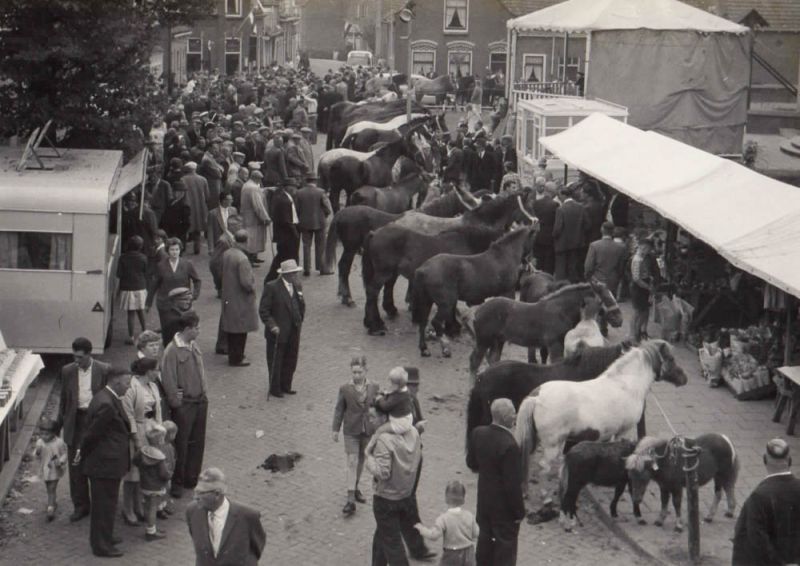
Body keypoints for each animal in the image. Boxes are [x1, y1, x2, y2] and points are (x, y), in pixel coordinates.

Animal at [361, 223, 506, 336]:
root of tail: (374, 233)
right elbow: (452, 305)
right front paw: (452, 327)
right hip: (383, 273)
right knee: (372, 292)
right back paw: (375, 326)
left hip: (391, 273)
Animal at [411, 225, 539, 358]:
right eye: (534, 239)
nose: (532, 261)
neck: (504, 255)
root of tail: (422, 269)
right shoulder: (508, 292)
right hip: (446, 304)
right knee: (436, 322)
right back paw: (445, 348)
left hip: (426, 301)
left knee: (423, 322)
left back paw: (424, 349)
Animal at [468, 280, 623, 378]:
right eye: (606, 298)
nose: (619, 319)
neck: (561, 311)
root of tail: (477, 311)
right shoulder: (555, 345)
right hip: (483, 341)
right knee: (475, 361)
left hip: (498, 341)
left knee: (493, 359)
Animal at [514, 340, 688, 487]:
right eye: (671, 358)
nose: (684, 379)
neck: (627, 385)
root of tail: (536, 397)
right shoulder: (623, 431)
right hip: (552, 445)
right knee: (545, 467)